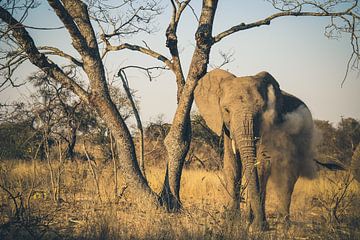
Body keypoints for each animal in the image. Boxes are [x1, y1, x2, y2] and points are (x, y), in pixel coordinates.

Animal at [195, 68, 320, 230]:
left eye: (261, 111)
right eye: (226, 110)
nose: (261, 224)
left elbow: (262, 164)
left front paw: (257, 226)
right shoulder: (226, 127)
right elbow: (232, 164)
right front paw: (232, 222)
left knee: (288, 175)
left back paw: (284, 224)